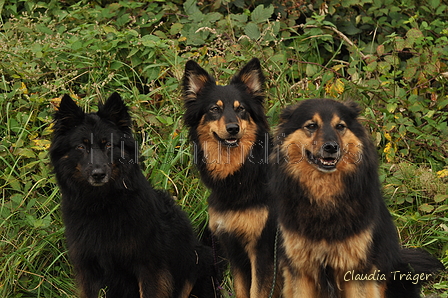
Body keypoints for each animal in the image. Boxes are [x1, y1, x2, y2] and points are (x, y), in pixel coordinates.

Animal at [49, 92, 215, 296]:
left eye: (108, 145)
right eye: (81, 146)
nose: (98, 174)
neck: (102, 204)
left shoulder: (149, 266)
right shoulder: (88, 269)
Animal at [181, 58, 280, 298]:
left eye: (241, 109)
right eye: (214, 109)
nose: (233, 128)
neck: (241, 175)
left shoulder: (263, 252)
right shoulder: (235, 251)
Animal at [272, 99, 442, 296]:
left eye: (340, 126)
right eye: (312, 126)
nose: (331, 147)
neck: (325, 198)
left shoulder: (356, 269)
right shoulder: (300, 270)